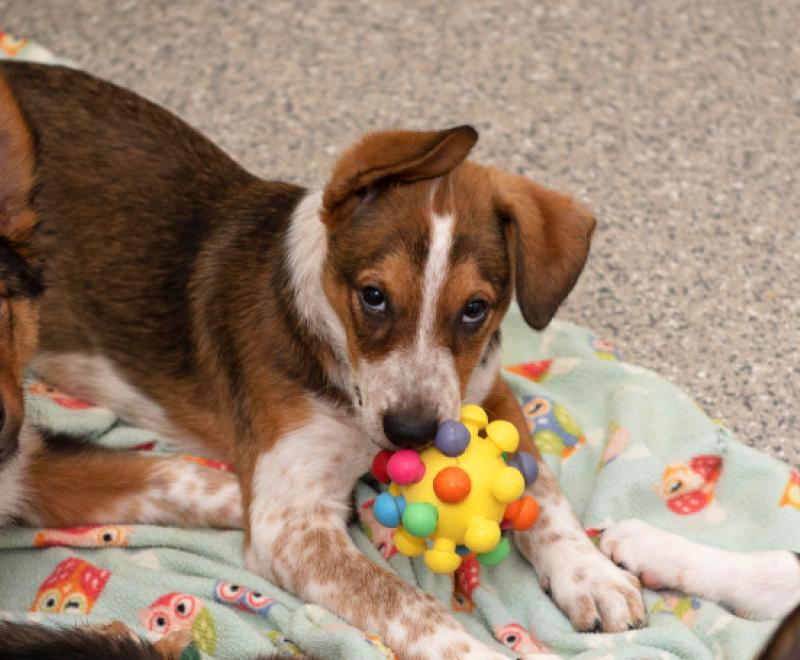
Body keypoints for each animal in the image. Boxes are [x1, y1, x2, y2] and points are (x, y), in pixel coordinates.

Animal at [0, 59, 648, 656]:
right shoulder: (291, 523)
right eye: (373, 296)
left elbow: (542, 487)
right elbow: (407, 603)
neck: (339, 364)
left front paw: (592, 575)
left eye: (475, 309)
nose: (413, 433)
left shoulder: (485, 387)